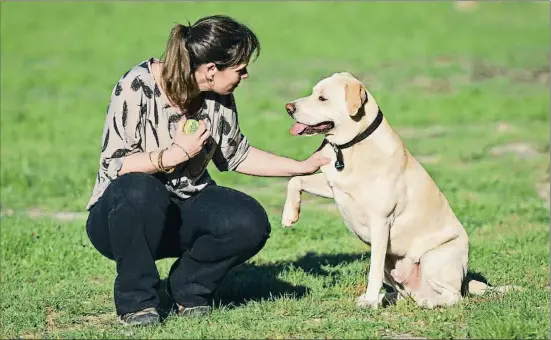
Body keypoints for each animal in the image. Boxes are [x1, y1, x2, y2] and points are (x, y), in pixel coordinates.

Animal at [282, 71, 490, 308]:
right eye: (313, 92)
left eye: (322, 98)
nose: (288, 107)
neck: (352, 146)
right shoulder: (334, 186)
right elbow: (296, 179)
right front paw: (289, 216)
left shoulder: (380, 222)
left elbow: (373, 270)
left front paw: (370, 302)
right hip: (395, 271)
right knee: (405, 293)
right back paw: (390, 297)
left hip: (435, 258)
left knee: (452, 297)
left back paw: (424, 302)